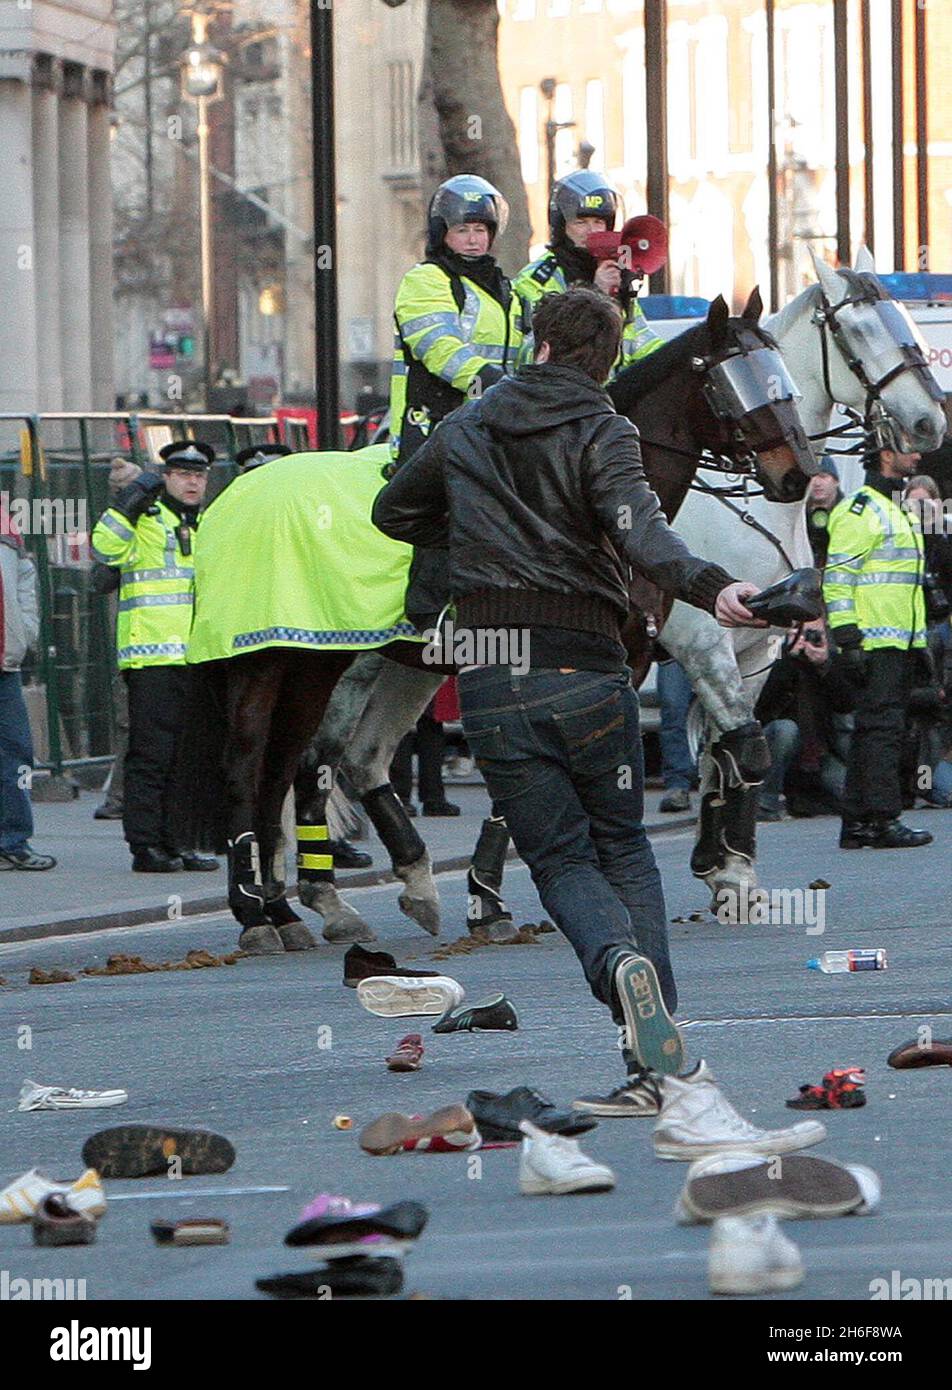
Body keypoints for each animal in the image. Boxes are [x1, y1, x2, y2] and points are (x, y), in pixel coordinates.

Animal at [655, 248, 945, 911]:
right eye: (856, 330)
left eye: (899, 319)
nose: (928, 422)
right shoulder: (701, 641)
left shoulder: (756, 647)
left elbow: (727, 750)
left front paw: (727, 869)